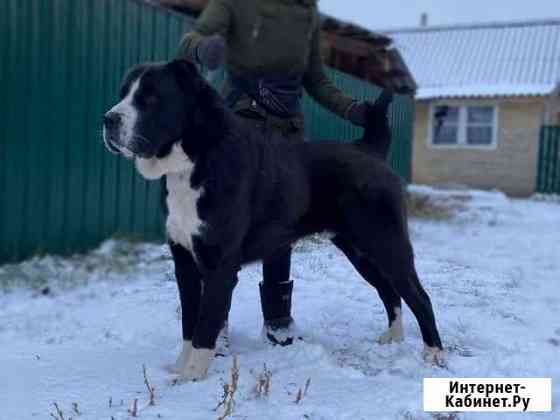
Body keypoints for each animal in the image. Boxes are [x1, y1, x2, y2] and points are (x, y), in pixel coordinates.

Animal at [103, 61, 444, 380]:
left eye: (150, 97)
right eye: (123, 93)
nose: (108, 120)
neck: (193, 159)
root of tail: (370, 149)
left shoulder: (219, 264)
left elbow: (206, 322)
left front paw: (192, 376)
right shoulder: (184, 261)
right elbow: (190, 320)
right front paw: (179, 367)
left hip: (387, 243)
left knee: (420, 296)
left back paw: (434, 353)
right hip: (359, 250)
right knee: (390, 291)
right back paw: (394, 337)